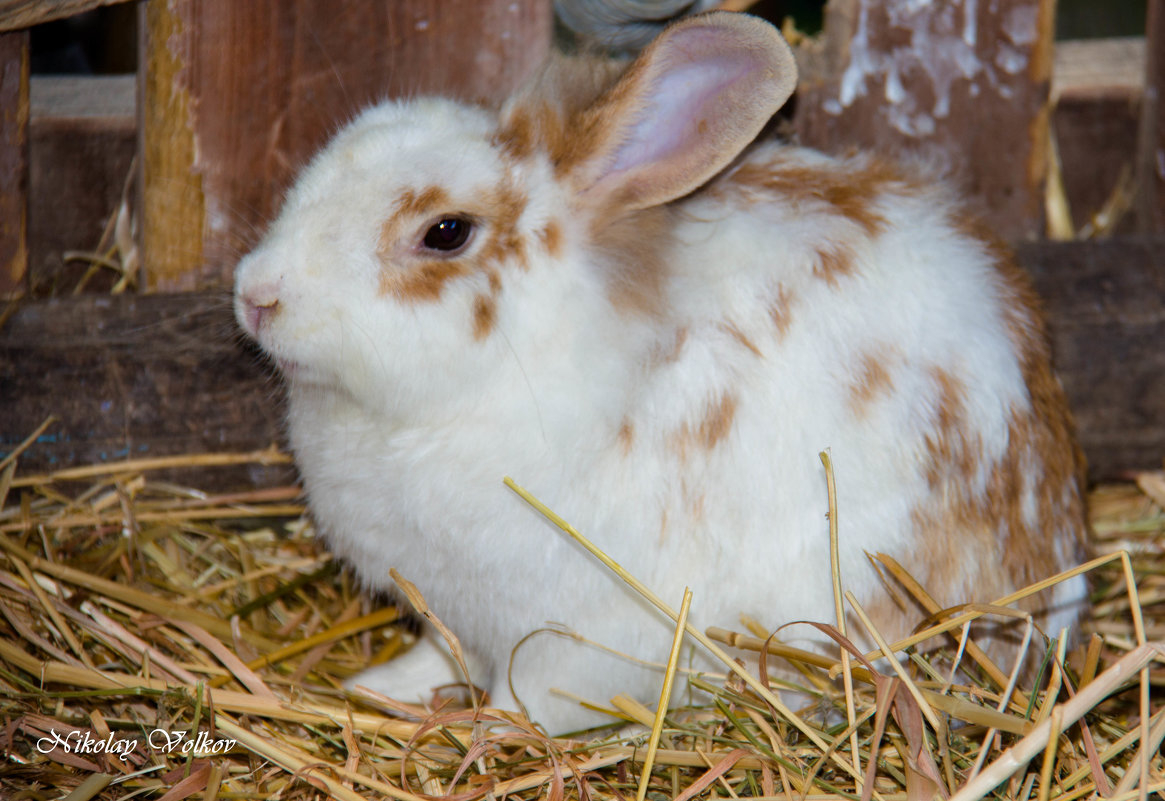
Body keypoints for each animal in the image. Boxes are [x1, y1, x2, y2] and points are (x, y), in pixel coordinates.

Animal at [234, 10, 1090, 731]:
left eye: (445, 232)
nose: (256, 293)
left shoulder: (577, 633)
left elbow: (528, 698)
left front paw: (479, 731)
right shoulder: (450, 611)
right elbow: (436, 654)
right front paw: (375, 688)